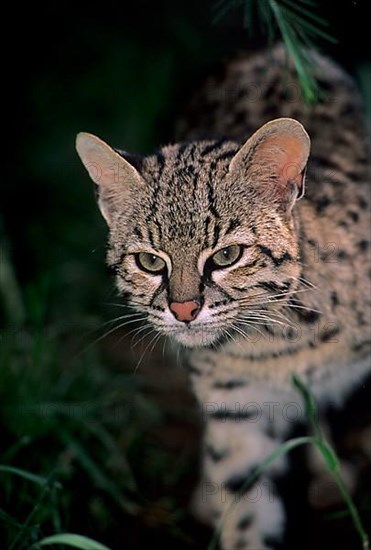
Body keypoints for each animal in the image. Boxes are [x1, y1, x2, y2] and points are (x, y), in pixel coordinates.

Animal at [75, 45, 370, 548]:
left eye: (227, 255)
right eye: (150, 262)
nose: (183, 311)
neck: (280, 336)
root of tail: (268, 51)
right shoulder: (236, 409)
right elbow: (244, 503)